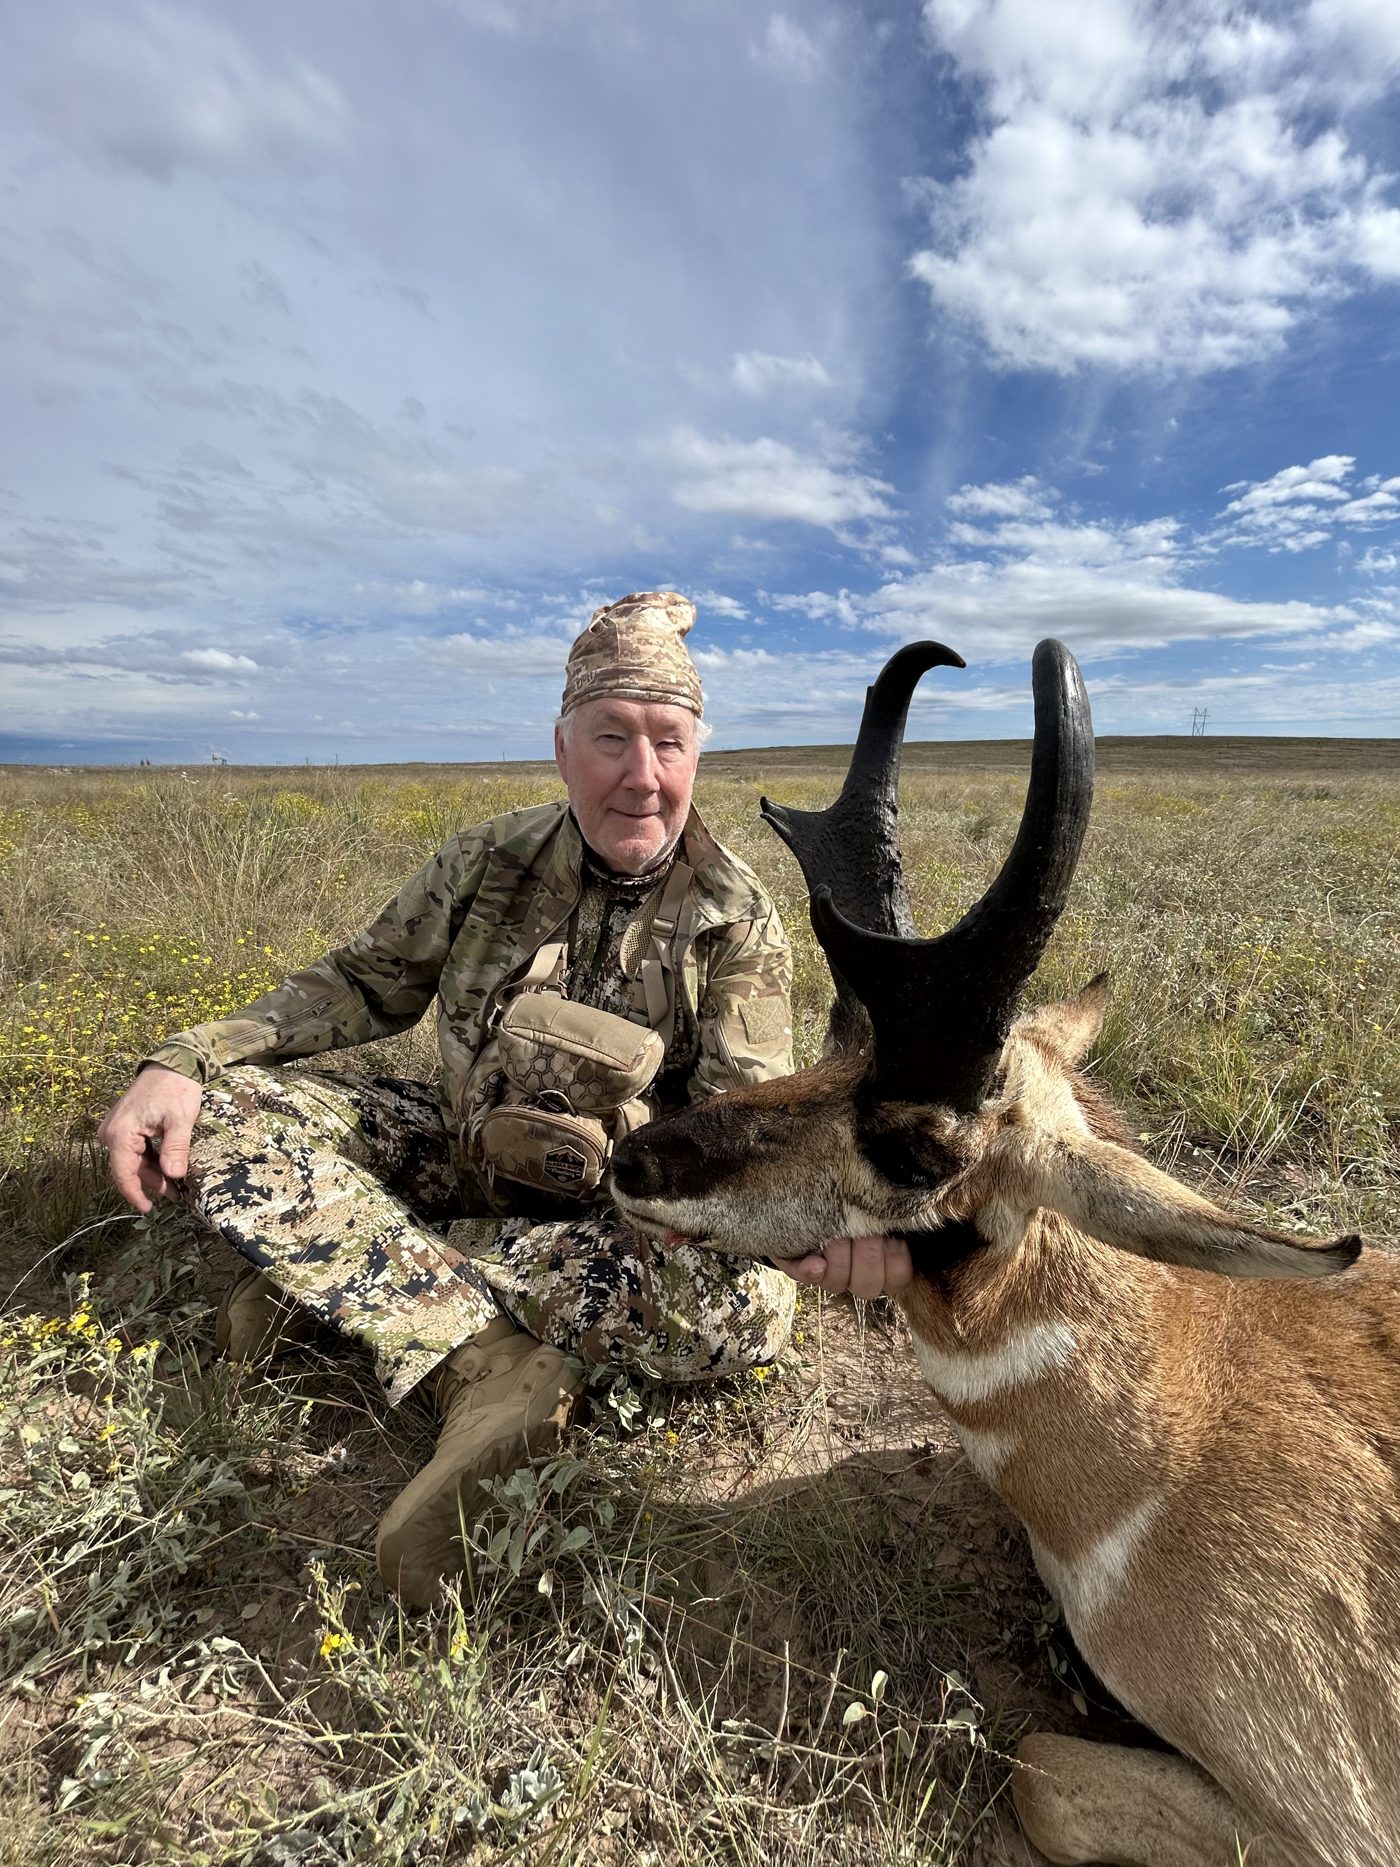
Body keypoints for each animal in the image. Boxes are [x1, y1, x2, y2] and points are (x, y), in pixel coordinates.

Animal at [610, 641, 1400, 1867]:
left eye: (916, 1144)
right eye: (835, 1037)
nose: (634, 1155)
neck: (1185, 1416)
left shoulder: (1329, 1829)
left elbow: (1035, 1767)